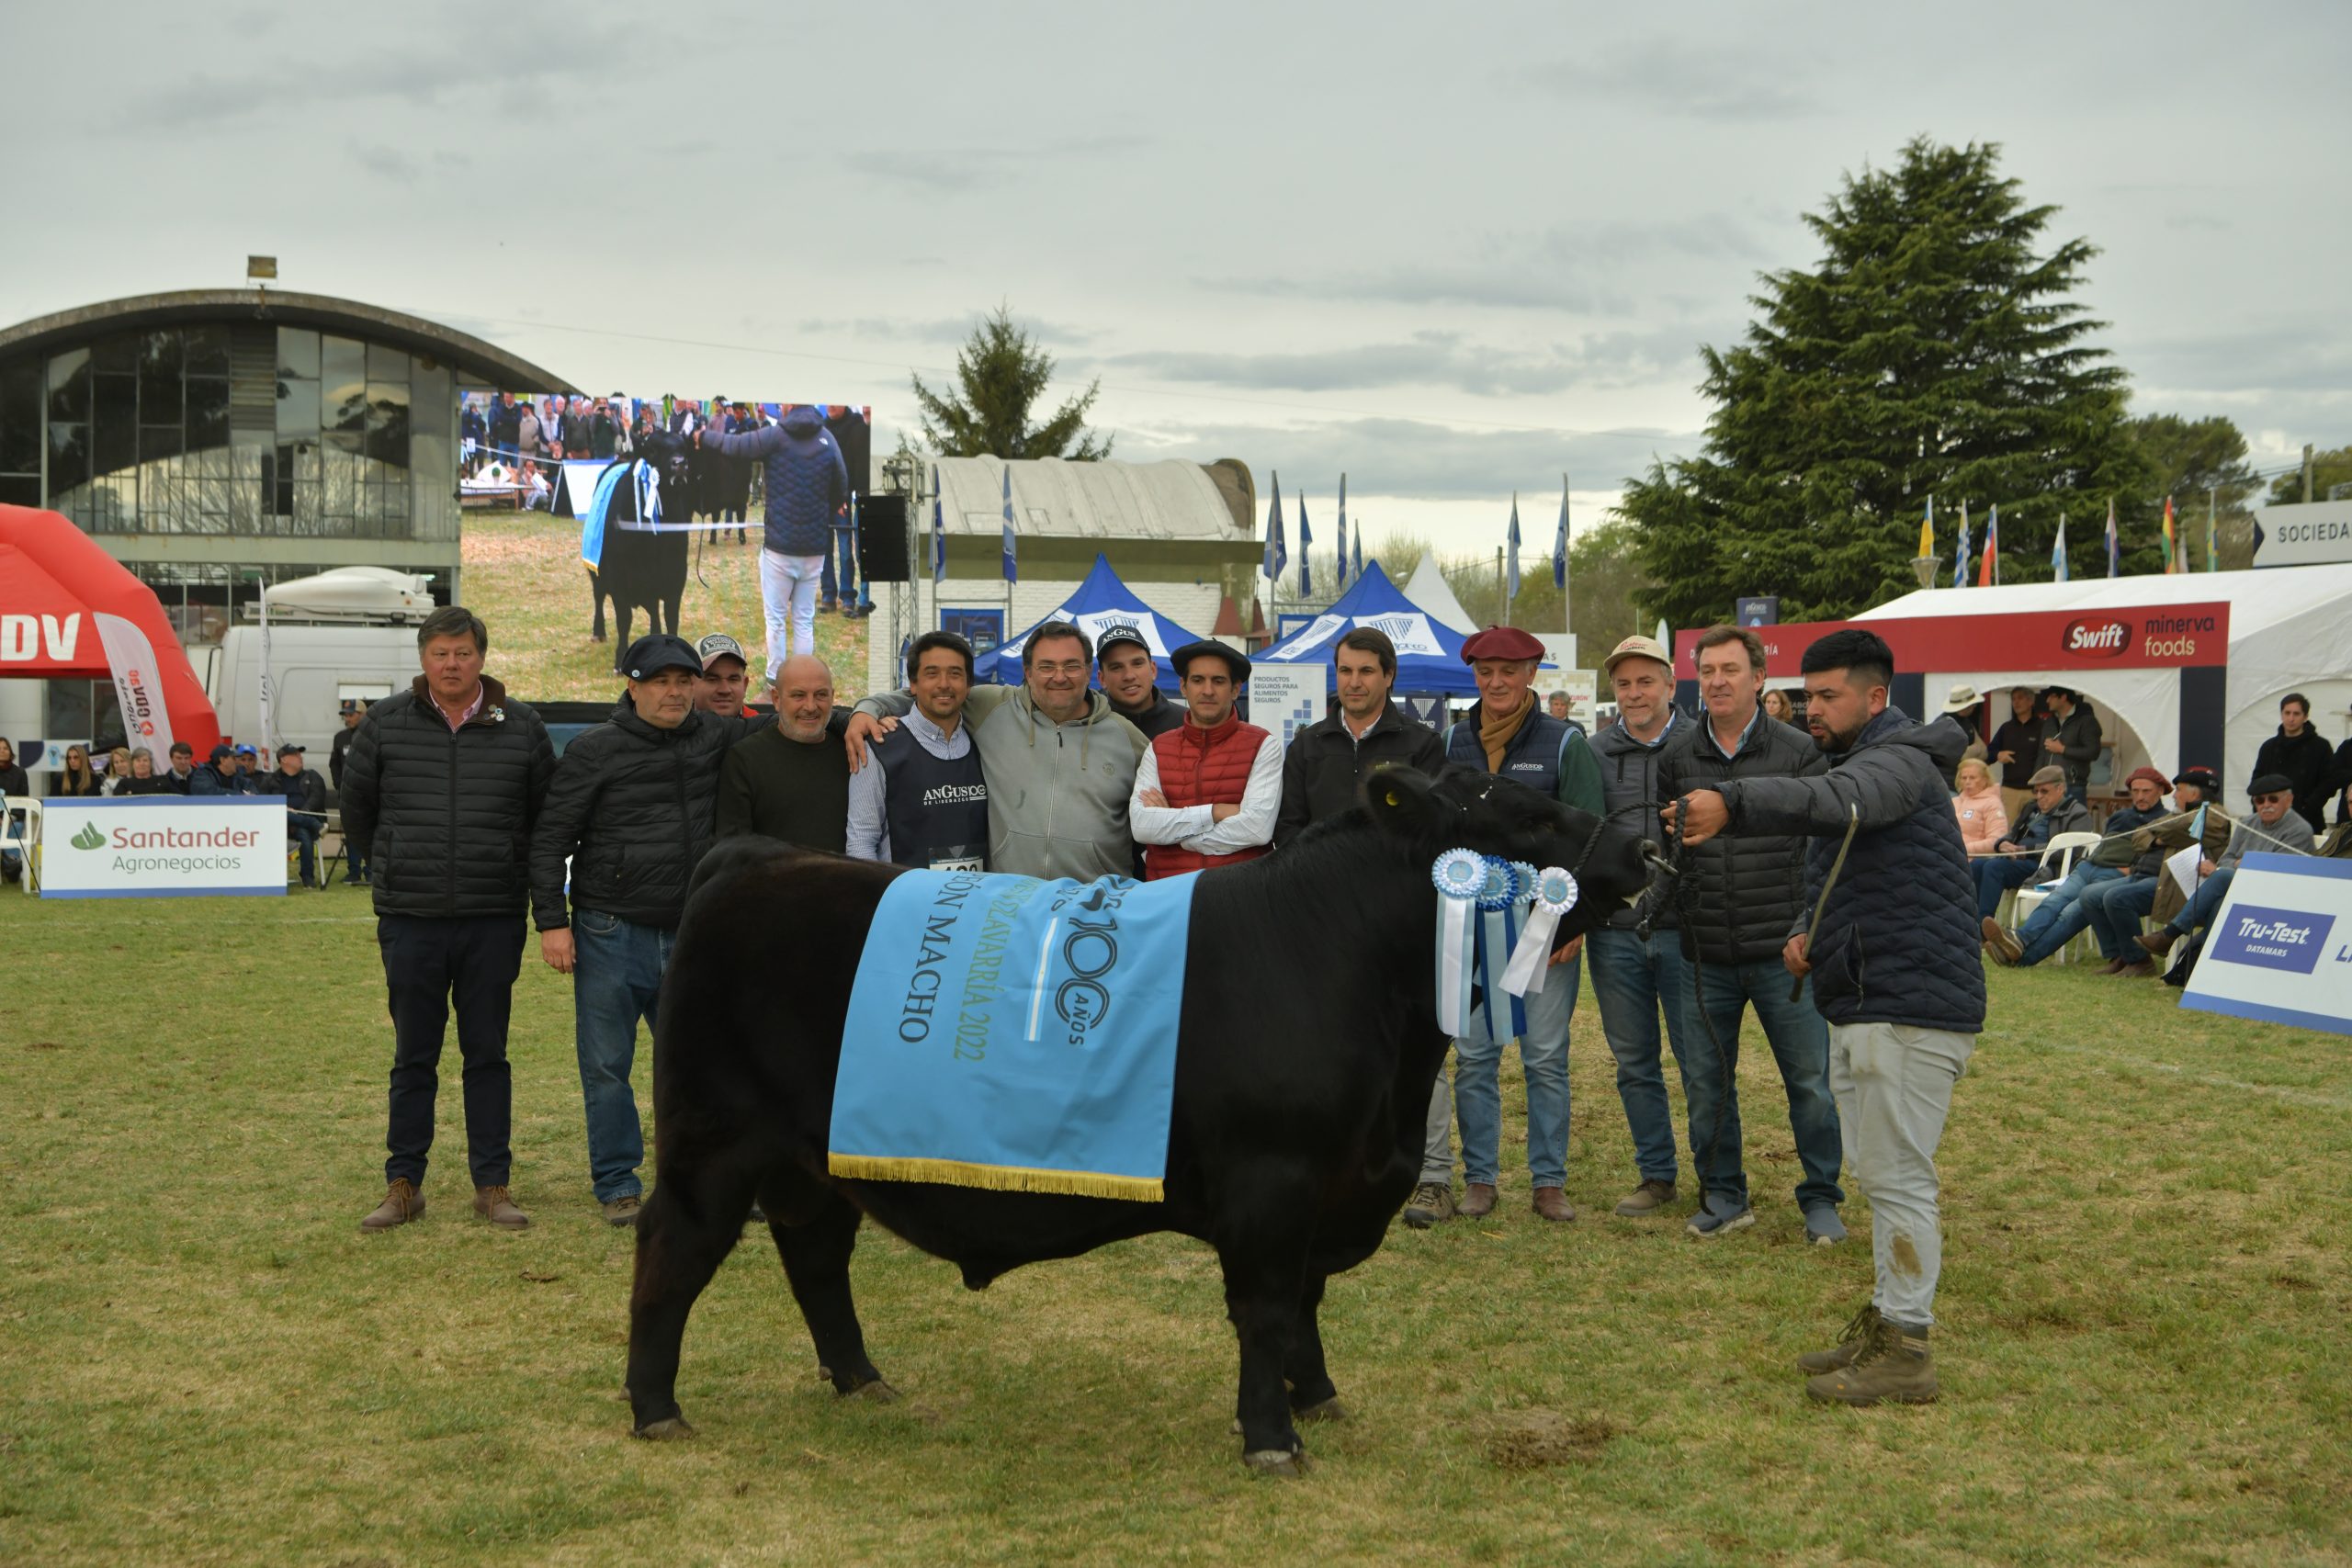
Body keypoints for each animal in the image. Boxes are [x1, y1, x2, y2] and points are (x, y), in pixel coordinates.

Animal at [625, 766, 1656, 1476]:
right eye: (1518, 817)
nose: (1641, 851)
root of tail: (756, 857)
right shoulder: (1272, 1181)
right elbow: (1267, 1307)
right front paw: (1271, 1437)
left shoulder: (1328, 1185)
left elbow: (1305, 1304)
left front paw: (1317, 1399)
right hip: (712, 1143)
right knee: (673, 1249)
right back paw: (654, 1409)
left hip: (816, 1159)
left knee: (815, 1255)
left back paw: (862, 1379)